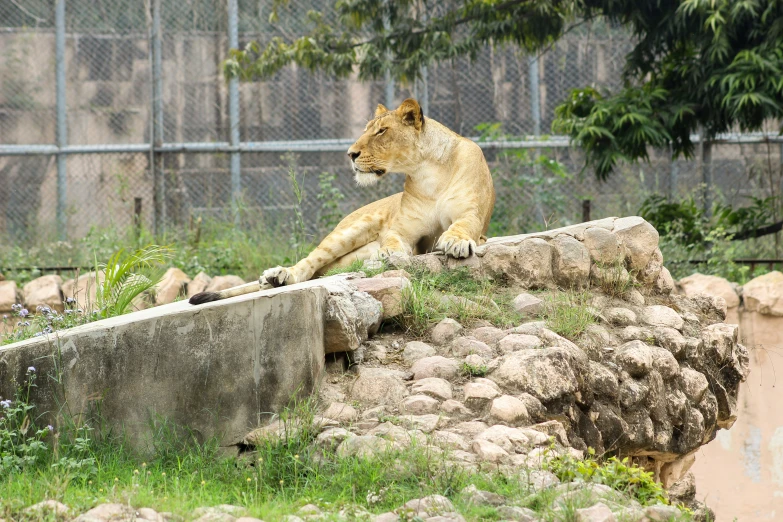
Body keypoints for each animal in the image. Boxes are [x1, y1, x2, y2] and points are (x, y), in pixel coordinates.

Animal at [189, 96, 494, 304]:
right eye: (367, 128)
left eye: (381, 131)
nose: (351, 154)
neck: (427, 171)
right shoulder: (403, 229)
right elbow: (394, 239)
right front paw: (391, 253)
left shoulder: (472, 215)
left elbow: (462, 226)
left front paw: (455, 242)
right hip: (350, 230)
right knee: (308, 265)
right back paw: (278, 276)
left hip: (351, 258)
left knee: (322, 271)